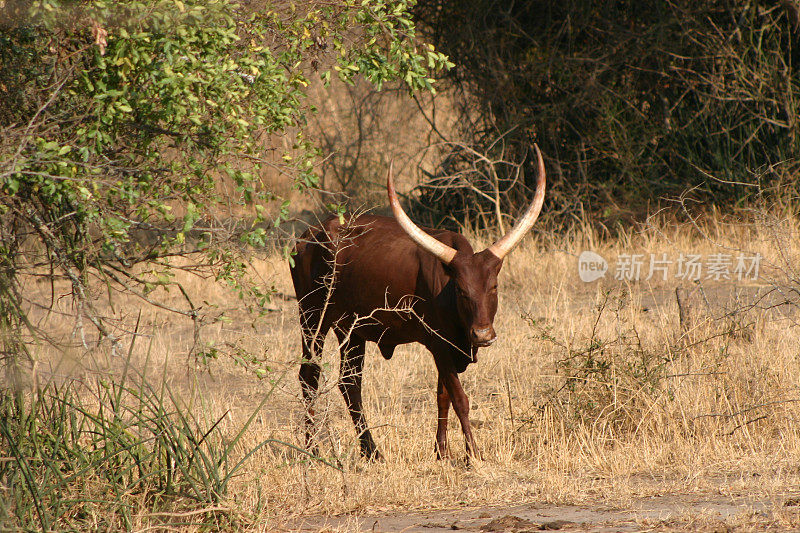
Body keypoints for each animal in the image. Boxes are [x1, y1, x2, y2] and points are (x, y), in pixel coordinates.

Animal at [290, 144, 548, 458]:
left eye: (494, 286)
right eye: (461, 290)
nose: (483, 334)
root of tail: (307, 237)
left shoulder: (449, 348)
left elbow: (442, 396)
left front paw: (441, 451)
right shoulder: (439, 344)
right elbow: (460, 398)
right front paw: (473, 454)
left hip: (351, 330)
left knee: (350, 383)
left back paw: (371, 451)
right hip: (311, 316)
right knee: (309, 375)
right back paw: (313, 449)